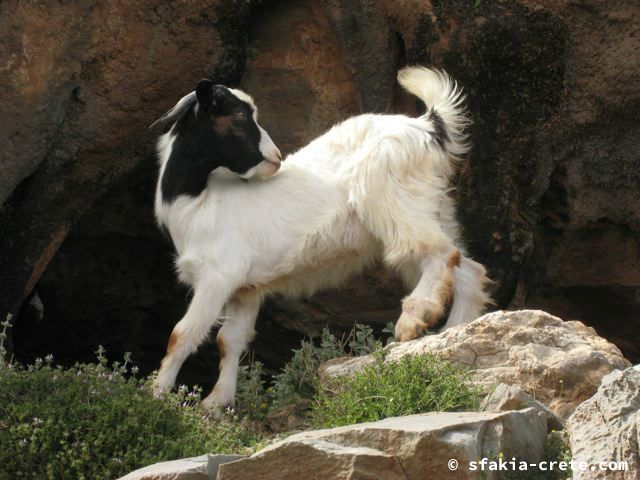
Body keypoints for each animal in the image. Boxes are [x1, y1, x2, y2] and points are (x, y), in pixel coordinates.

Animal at [150, 67, 490, 410]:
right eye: (237, 115)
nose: (275, 158)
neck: (199, 202)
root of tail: (427, 127)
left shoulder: (218, 276)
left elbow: (183, 334)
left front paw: (157, 395)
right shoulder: (246, 288)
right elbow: (229, 340)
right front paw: (217, 402)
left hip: (392, 198)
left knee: (437, 252)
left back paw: (413, 319)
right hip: (433, 207)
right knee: (465, 267)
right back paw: (453, 332)